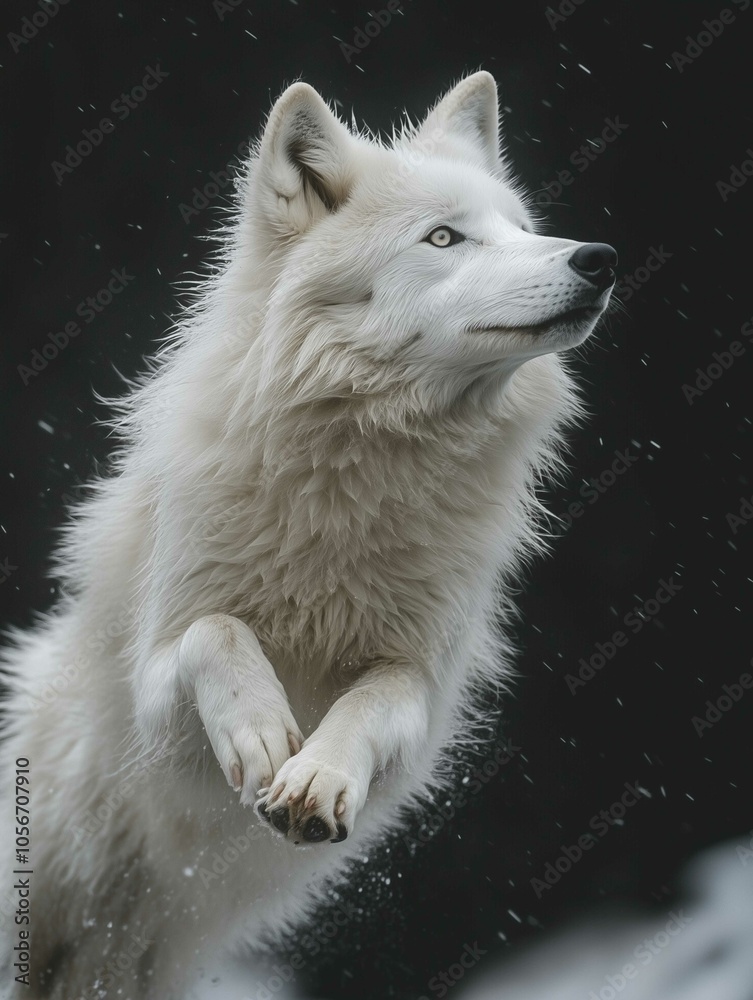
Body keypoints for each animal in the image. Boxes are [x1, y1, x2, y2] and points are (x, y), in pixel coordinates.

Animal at [0, 72, 616, 999]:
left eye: (520, 227)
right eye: (444, 237)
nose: (597, 258)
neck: (351, 483)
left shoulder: (419, 686)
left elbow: (371, 701)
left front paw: (317, 777)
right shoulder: (157, 692)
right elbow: (219, 631)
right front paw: (260, 737)